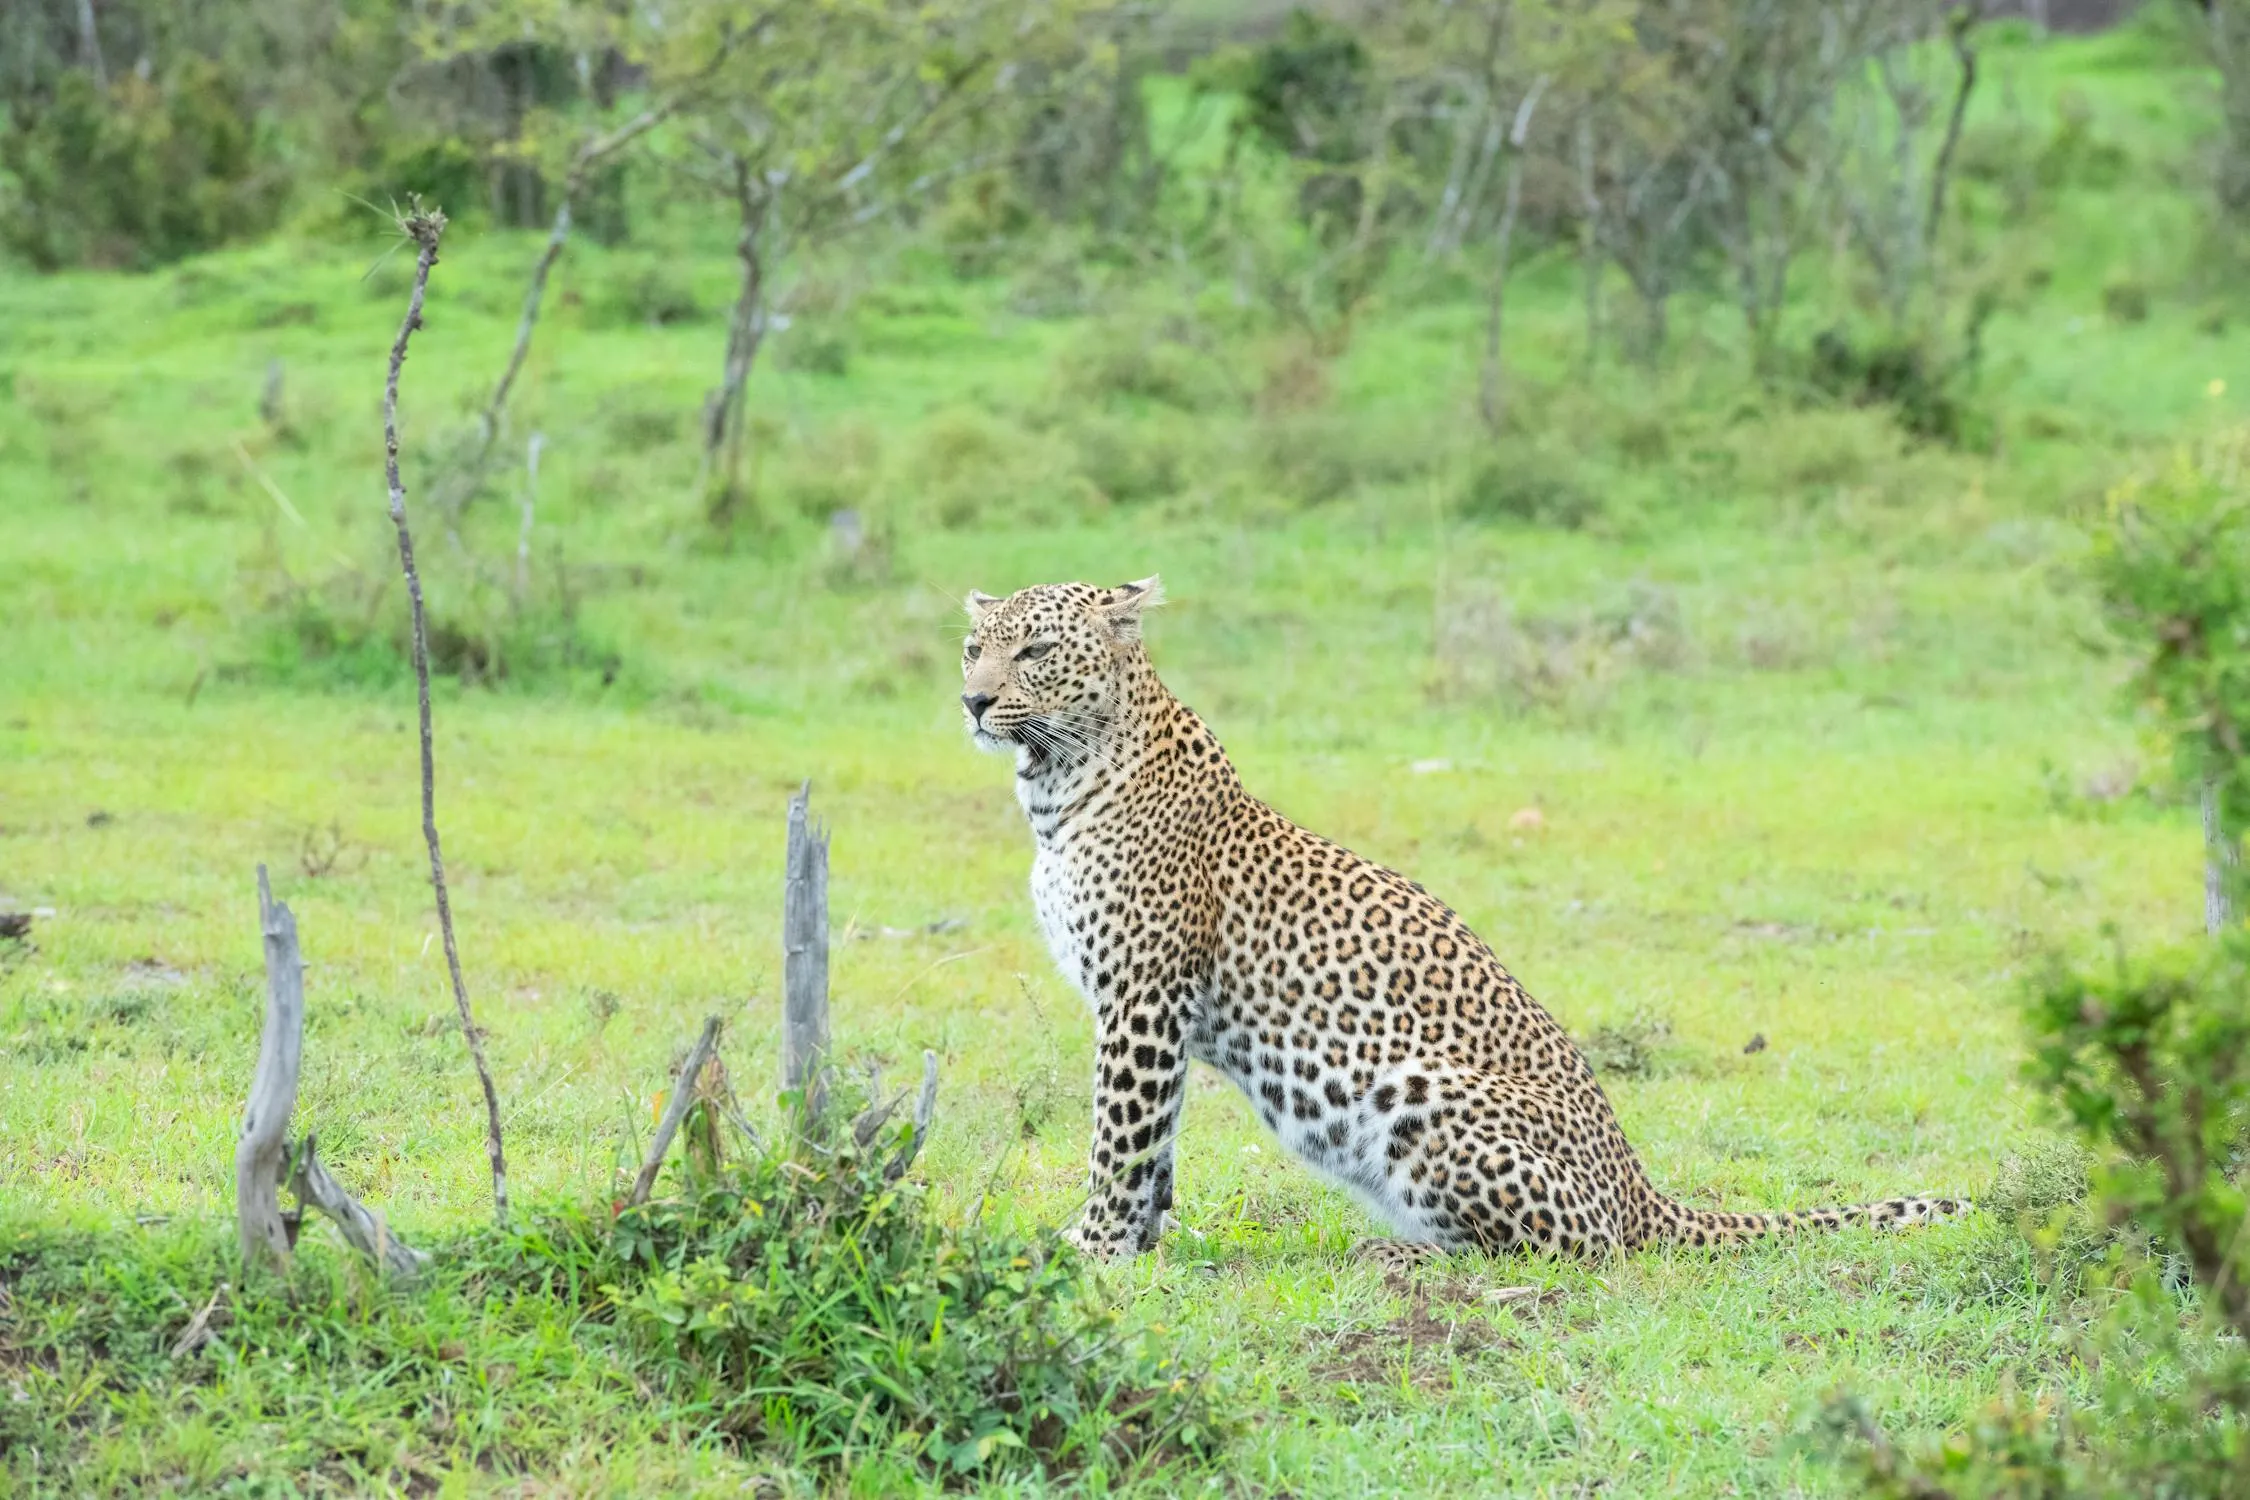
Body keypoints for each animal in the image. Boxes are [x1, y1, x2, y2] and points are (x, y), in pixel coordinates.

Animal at [960, 576, 1969, 1265]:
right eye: (973, 647)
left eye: (1036, 652)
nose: (973, 700)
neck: (1054, 784)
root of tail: (1642, 1188)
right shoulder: (1146, 1012)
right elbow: (1157, 1143)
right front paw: (1142, 1244)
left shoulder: (1143, 998)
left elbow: (1118, 1137)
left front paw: (1092, 1248)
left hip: (1422, 1099)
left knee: (1578, 1250)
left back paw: (1396, 1254)